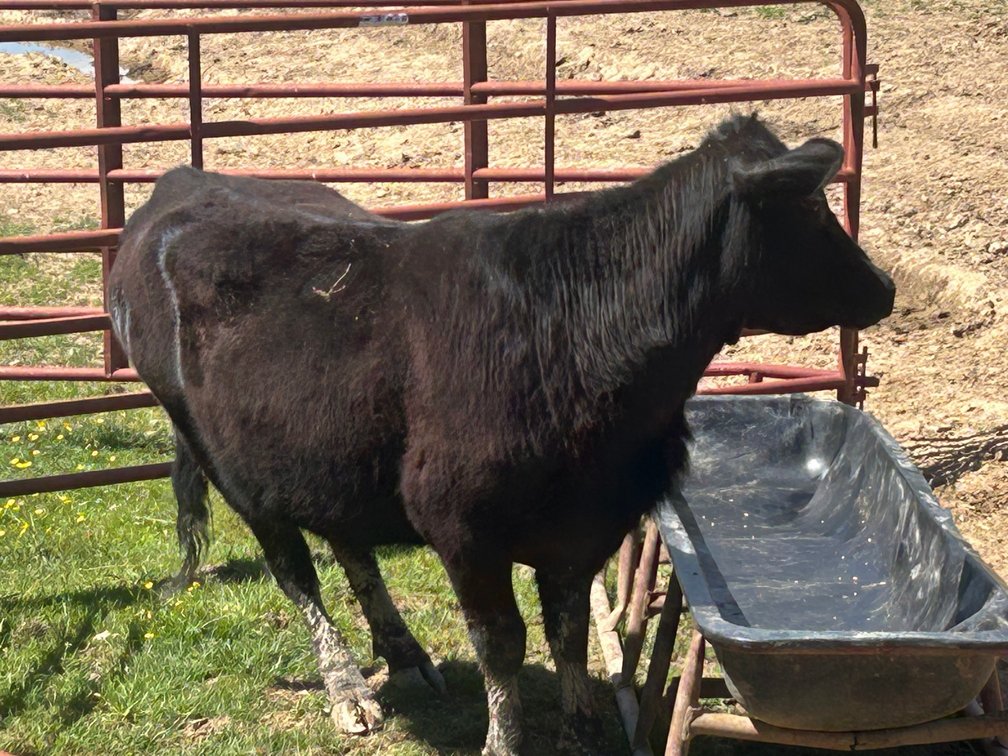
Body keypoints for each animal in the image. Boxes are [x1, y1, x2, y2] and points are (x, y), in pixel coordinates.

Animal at [108, 114, 895, 755]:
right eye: (811, 208)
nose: (885, 288)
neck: (577, 326)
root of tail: (183, 181)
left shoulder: (588, 522)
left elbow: (567, 629)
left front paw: (582, 728)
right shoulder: (464, 529)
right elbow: (502, 644)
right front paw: (505, 739)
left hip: (325, 456)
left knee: (352, 547)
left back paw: (404, 655)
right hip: (226, 464)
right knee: (297, 573)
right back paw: (348, 690)